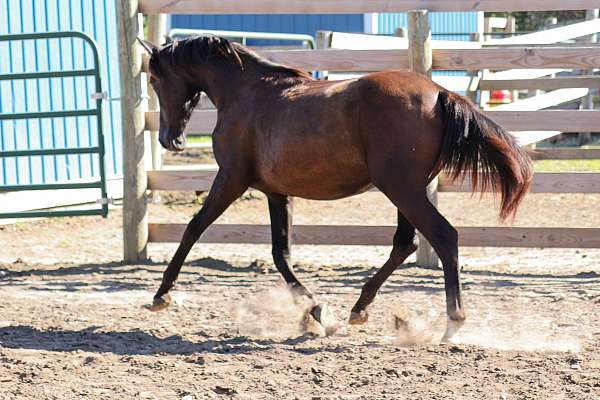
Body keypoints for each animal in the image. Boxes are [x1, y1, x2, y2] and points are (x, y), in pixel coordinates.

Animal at [137, 36, 536, 340]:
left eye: (154, 78)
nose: (171, 140)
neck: (246, 94)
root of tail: (439, 93)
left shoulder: (231, 179)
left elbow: (193, 229)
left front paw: (160, 297)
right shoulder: (276, 192)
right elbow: (280, 253)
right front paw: (314, 313)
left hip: (402, 189)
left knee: (443, 236)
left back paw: (453, 323)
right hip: (407, 190)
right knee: (404, 243)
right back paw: (359, 309)